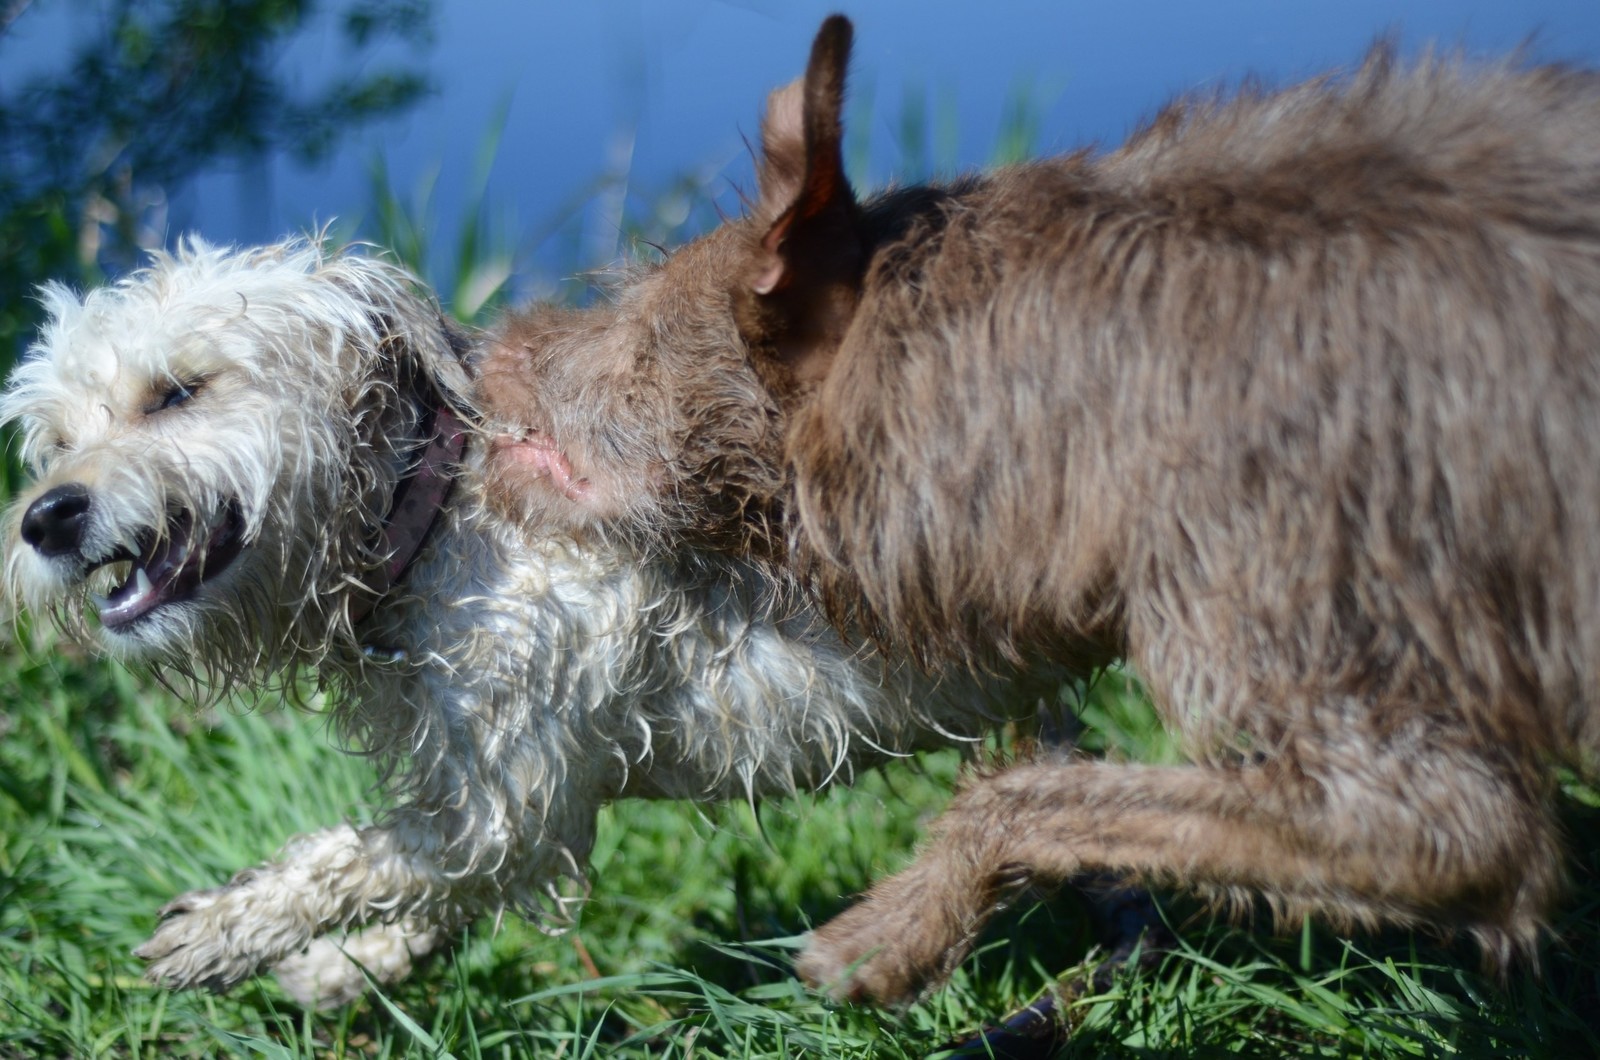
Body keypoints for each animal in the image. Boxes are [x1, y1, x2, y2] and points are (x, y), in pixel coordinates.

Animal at [3, 240, 1024, 1011]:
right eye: (56, 439)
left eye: (176, 392)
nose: (44, 517)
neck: (435, 509)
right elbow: (428, 884)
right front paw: (349, 965)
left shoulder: (513, 790)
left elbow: (369, 857)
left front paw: (229, 928)